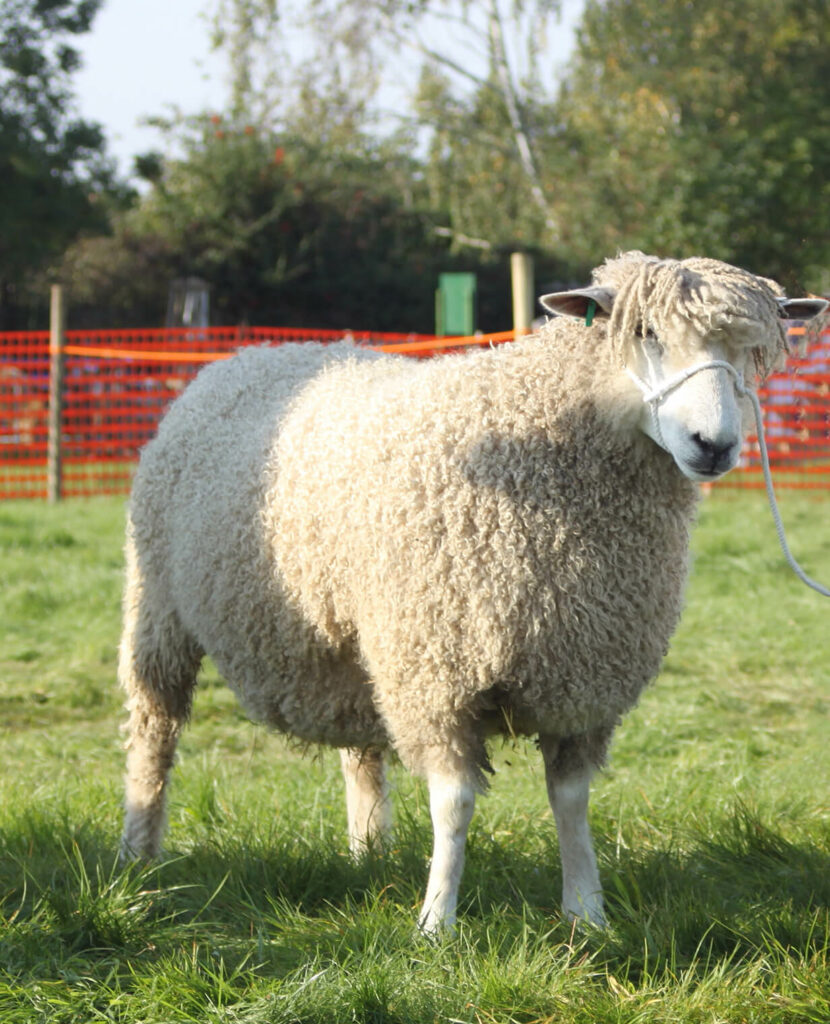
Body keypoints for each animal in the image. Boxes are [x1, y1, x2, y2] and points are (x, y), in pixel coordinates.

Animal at [120, 251, 826, 933]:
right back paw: (138, 858)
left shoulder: (582, 675)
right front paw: (437, 922)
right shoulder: (440, 671)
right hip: (159, 609)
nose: (716, 445)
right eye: (644, 332)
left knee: (359, 748)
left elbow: (572, 801)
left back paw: (368, 851)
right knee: (155, 731)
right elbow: (454, 804)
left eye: (748, 350)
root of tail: (253, 354)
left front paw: (587, 914)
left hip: (360, 637)